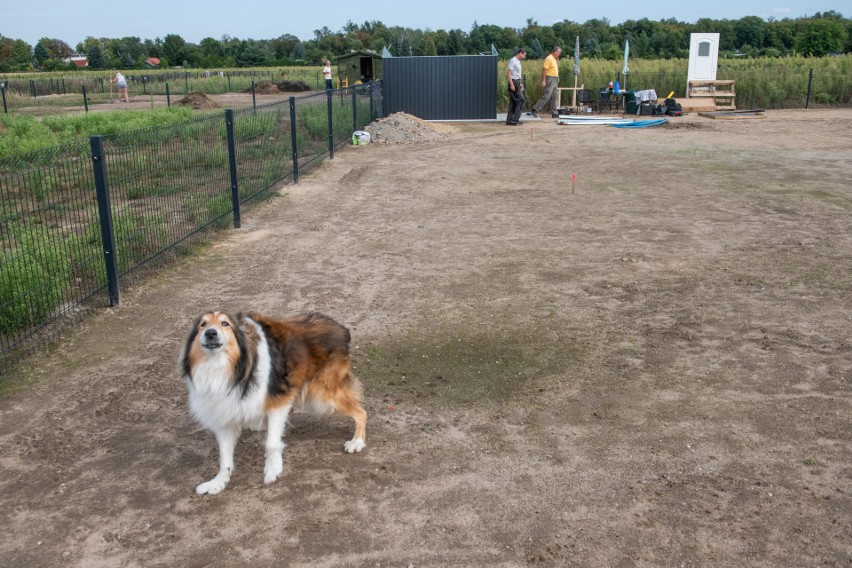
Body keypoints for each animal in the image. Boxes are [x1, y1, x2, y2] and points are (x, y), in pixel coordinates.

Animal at [180, 310, 366, 492]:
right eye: (202, 324)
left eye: (225, 323)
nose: (210, 333)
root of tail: (340, 327)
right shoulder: (224, 414)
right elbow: (224, 457)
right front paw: (218, 482)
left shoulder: (278, 403)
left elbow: (271, 443)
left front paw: (273, 470)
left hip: (325, 396)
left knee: (361, 413)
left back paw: (357, 442)